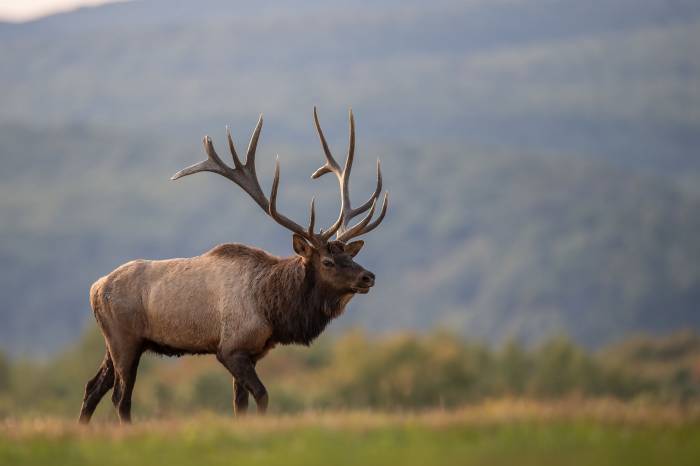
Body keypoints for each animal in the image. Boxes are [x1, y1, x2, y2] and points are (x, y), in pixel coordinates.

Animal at [78, 108, 388, 424]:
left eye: (349, 256)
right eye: (327, 261)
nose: (368, 277)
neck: (272, 309)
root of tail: (95, 288)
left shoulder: (252, 352)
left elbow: (240, 403)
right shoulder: (230, 348)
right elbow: (261, 395)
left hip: (113, 342)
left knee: (93, 387)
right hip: (125, 340)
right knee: (120, 397)